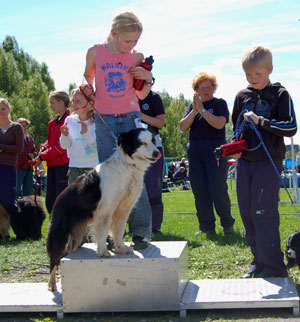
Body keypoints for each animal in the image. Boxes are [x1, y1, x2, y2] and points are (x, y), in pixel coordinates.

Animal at [47, 129, 161, 292]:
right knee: (54, 260)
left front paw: (120, 248)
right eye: (141, 143)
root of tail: (57, 200)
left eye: (152, 141)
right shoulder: (105, 210)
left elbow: (118, 230)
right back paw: (52, 285)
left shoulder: (123, 209)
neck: (128, 166)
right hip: (60, 234)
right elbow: (103, 231)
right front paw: (103, 251)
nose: (157, 153)